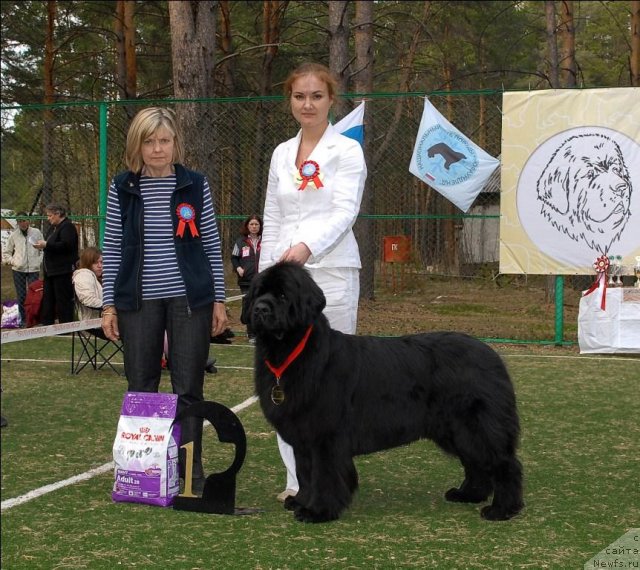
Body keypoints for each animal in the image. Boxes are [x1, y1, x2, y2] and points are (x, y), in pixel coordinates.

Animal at [248, 260, 524, 520]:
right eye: (258, 293)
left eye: (283, 295)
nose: (259, 309)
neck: (293, 352)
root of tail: (492, 355)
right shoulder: (304, 437)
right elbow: (305, 473)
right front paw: (300, 501)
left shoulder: (326, 436)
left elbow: (324, 476)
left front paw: (317, 511)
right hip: (454, 429)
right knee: (476, 463)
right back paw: (468, 494)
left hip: (475, 425)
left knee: (504, 463)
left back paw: (502, 509)